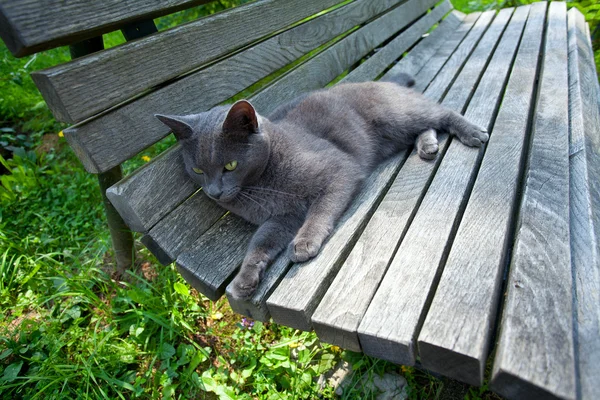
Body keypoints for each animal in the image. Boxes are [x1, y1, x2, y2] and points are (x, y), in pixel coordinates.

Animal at [156, 75, 488, 300]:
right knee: (425, 127)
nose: (214, 192)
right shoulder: (281, 218)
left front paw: (304, 243)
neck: (261, 187)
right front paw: (245, 278)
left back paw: (472, 132)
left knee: (440, 113)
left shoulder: (339, 170)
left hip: (396, 115)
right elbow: (260, 242)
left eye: (230, 166)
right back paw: (428, 146)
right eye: (198, 170)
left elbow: (320, 210)